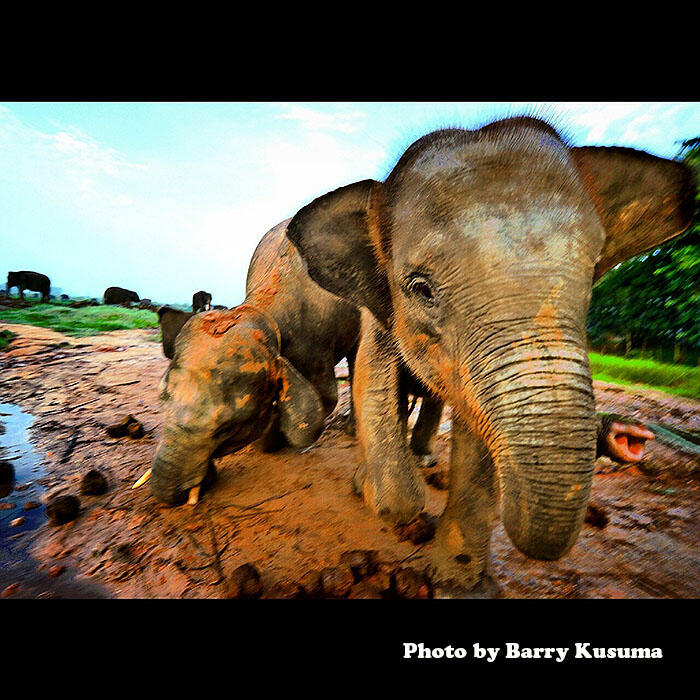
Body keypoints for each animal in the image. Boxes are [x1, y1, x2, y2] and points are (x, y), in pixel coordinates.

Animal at [145, 217, 372, 504]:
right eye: (162, 399)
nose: (175, 496)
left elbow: (322, 402)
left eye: (225, 428)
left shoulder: (315, 342)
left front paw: (273, 438)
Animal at [286, 116, 696, 596]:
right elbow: (376, 387)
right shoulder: (378, 312)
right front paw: (374, 491)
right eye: (421, 288)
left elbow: (476, 434)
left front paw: (462, 586)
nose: (628, 434)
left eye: (593, 275)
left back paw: (423, 458)